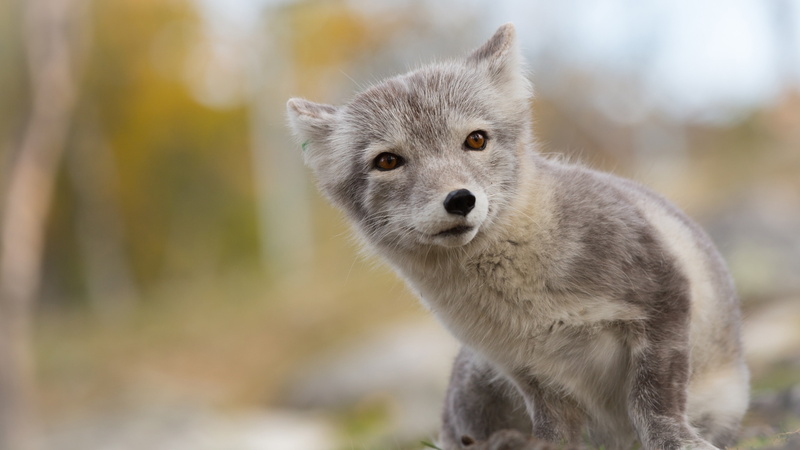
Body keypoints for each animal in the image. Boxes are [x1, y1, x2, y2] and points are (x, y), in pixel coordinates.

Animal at [286, 24, 749, 450]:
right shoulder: (528, 370)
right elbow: (554, 433)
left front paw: (677, 441)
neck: (526, 302)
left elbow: (653, 400)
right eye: (387, 161)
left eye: (476, 139)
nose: (460, 200)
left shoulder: (663, 295)